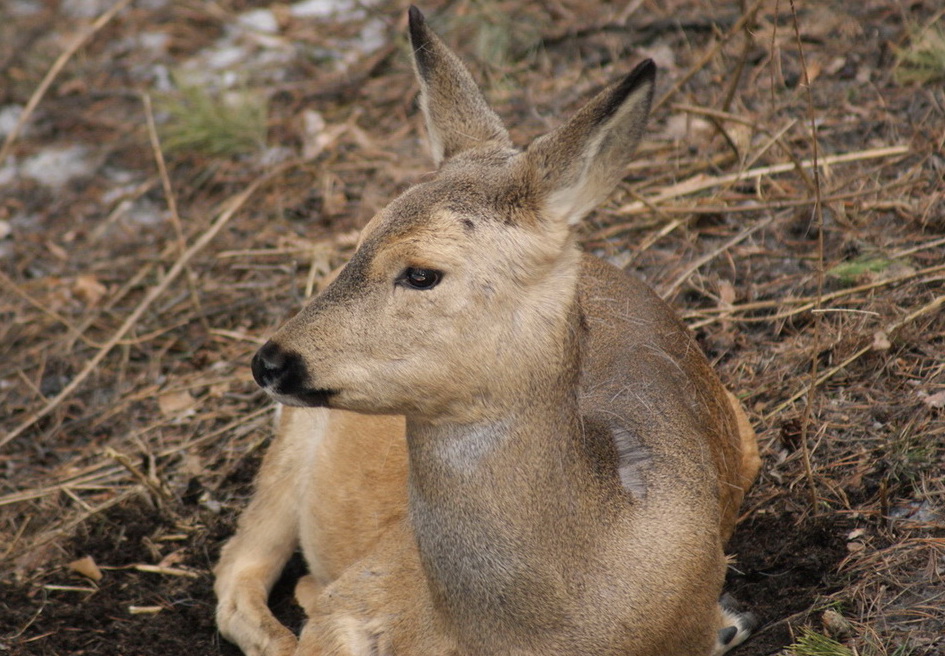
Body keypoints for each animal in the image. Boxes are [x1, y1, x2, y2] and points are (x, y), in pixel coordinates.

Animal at [214, 6, 760, 656]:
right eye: (362, 235)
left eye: (421, 272)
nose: (269, 360)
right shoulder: (364, 586)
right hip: (296, 442)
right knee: (238, 569)